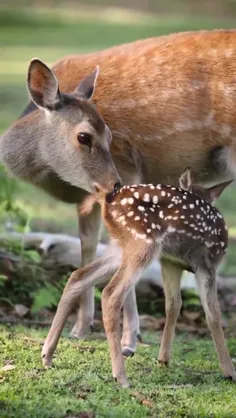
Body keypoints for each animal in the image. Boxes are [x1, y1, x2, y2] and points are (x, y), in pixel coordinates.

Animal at [1, 28, 236, 350]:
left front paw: (130, 337)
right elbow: (88, 244)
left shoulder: (127, 168)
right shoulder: (89, 193)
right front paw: (81, 327)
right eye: (85, 136)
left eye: (110, 136)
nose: (115, 185)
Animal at [41, 170, 235, 388]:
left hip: (121, 247)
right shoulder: (207, 263)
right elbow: (213, 314)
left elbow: (173, 304)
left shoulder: (171, 262)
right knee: (110, 293)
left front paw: (163, 360)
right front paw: (229, 371)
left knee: (78, 276)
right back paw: (121, 377)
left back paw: (47, 356)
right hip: (143, 243)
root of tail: (107, 198)